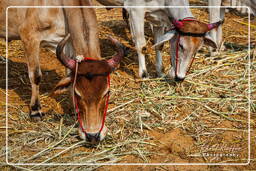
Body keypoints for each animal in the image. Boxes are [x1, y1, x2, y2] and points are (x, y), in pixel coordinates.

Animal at [0, 0, 125, 143]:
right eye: (78, 94)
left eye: (106, 92)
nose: (93, 135)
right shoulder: (29, 36)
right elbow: (35, 76)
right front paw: (35, 110)